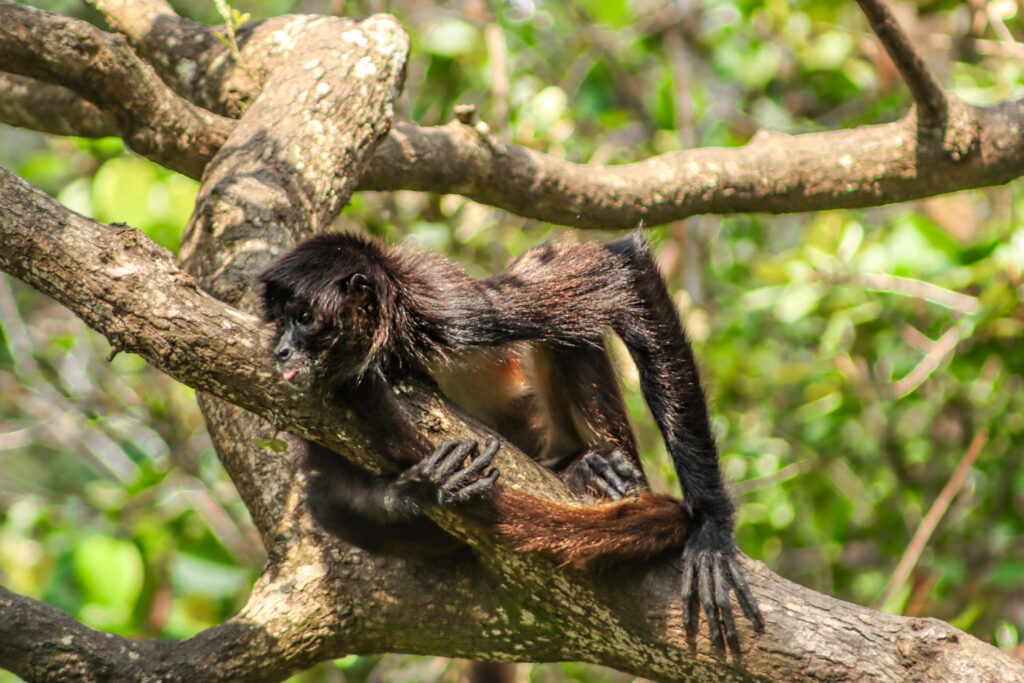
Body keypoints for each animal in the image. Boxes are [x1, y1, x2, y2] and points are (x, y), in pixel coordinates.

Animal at [258, 231, 763, 651]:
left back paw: (588, 469)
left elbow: (623, 266)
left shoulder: (446, 310)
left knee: (571, 314)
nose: (280, 351)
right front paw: (421, 489)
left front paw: (712, 525)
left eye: (304, 318)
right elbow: (322, 487)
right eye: (281, 322)